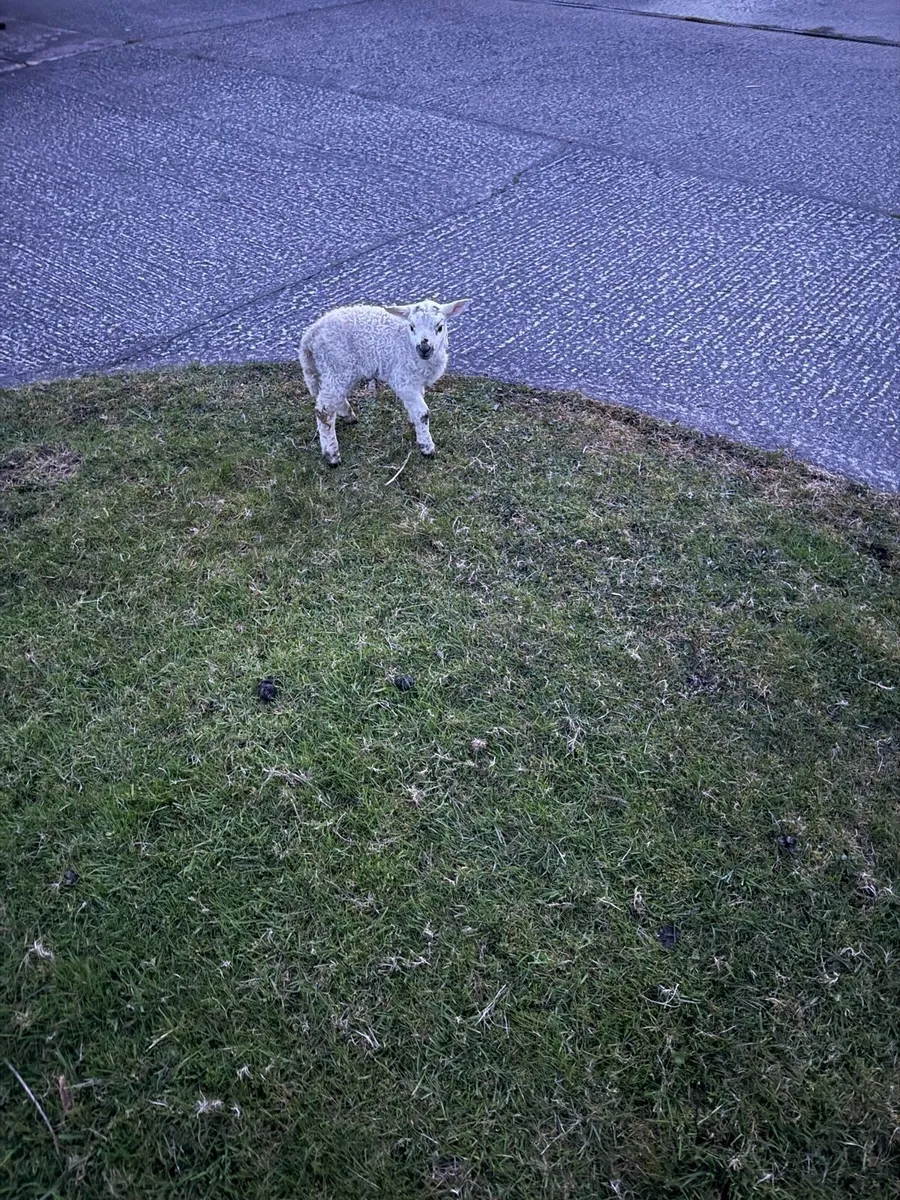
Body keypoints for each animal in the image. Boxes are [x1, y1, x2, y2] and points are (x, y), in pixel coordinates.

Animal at [300, 297, 470, 466]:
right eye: (412, 327)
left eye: (440, 327)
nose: (424, 348)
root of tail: (312, 332)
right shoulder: (403, 379)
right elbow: (422, 413)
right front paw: (427, 447)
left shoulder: (415, 381)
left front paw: (413, 422)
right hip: (337, 365)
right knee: (324, 409)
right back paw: (332, 455)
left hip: (339, 370)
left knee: (334, 397)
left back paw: (348, 416)